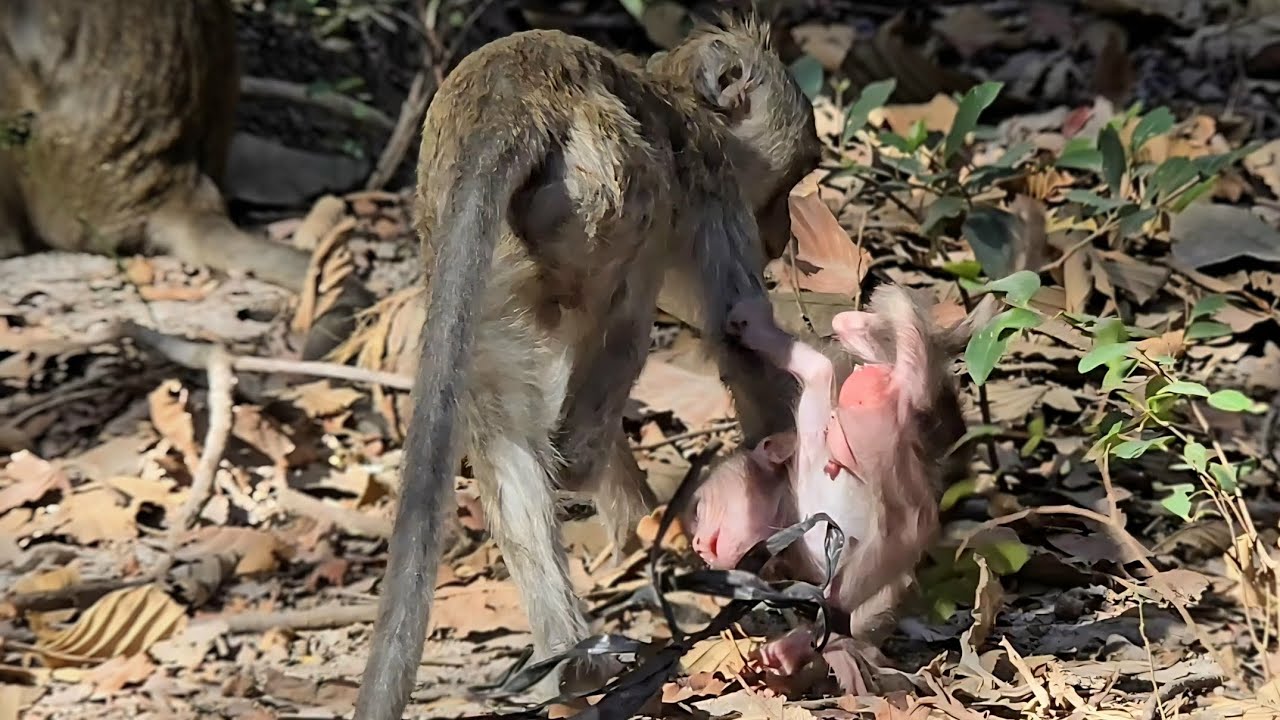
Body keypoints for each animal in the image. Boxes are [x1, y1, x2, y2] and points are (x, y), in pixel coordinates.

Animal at [354, 17, 821, 719]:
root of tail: (505, 106)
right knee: (624, 313)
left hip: (498, 265)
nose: (782, 231)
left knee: (503, 423)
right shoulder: (710, 179)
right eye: (795, 176)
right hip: (609, 193)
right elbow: (736, 335)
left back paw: (575, 660)